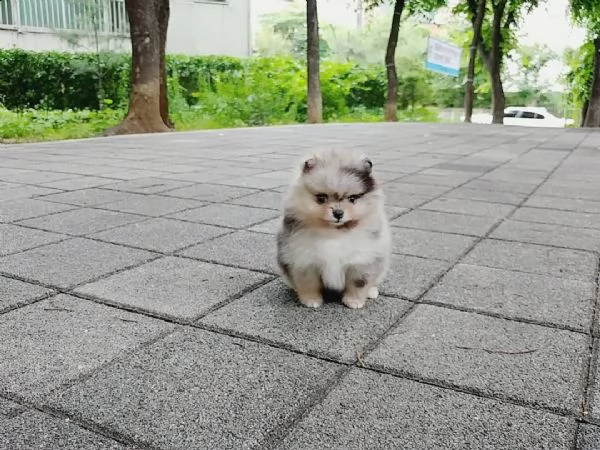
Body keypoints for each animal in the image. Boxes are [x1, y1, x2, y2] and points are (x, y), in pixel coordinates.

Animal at [276, 148, 392, 310]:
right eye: (321, 198)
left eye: (352, 198)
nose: (338, 213)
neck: (333, 233)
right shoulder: (304, 260)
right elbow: (308, 283)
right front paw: (311, 300)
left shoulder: (361, 260)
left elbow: (358, 283)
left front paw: (354, 301)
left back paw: (371, 292)